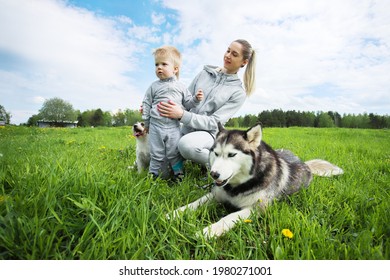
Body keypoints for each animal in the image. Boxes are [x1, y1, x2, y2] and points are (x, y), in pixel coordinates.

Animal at [169, 123, 342, 238]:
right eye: (216, 153)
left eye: (232, 155)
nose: (213, 174)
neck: (238, 185)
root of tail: (305, 163)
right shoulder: (216, 194)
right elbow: (195, 203)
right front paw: (175, 213)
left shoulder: (256, 208)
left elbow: (228, 217)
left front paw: (208, 231)